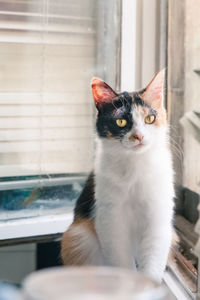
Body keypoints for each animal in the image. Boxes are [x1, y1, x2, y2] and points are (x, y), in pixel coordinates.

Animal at [61, 70, 175, 284]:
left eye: (150, 118)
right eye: (121, 121)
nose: (139, 137)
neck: (135, 166)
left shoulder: (158, 220)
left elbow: (152, 264)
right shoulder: (110, 221)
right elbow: (122, 262)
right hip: (78, 238)